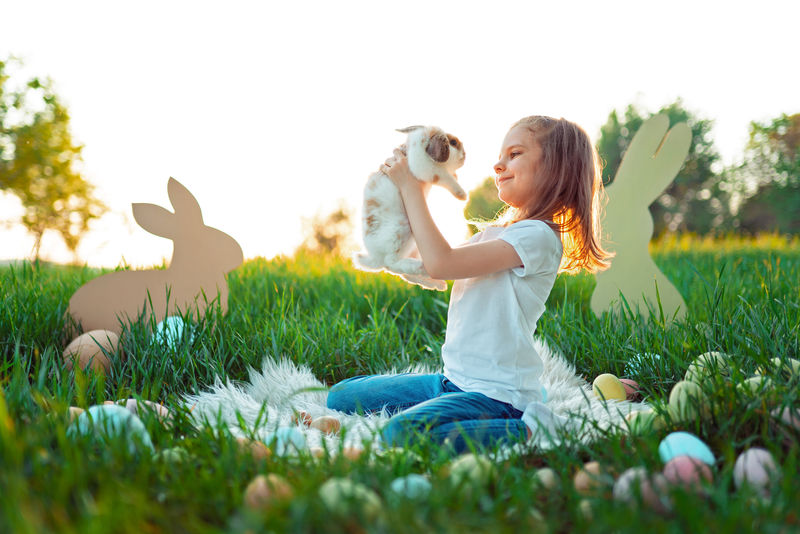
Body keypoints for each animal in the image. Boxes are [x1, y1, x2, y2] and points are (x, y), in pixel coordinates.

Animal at [352, 125, 466, 294]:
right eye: (452, 142)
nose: (465, 156)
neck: (421, 143)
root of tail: (375, 257)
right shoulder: (426, 168)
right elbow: (445, 178)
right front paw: (462, 195)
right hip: (402, 232)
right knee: (391, 263)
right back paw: (423, 269)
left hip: (414, 244)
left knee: (403, 273)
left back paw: (437, 284)